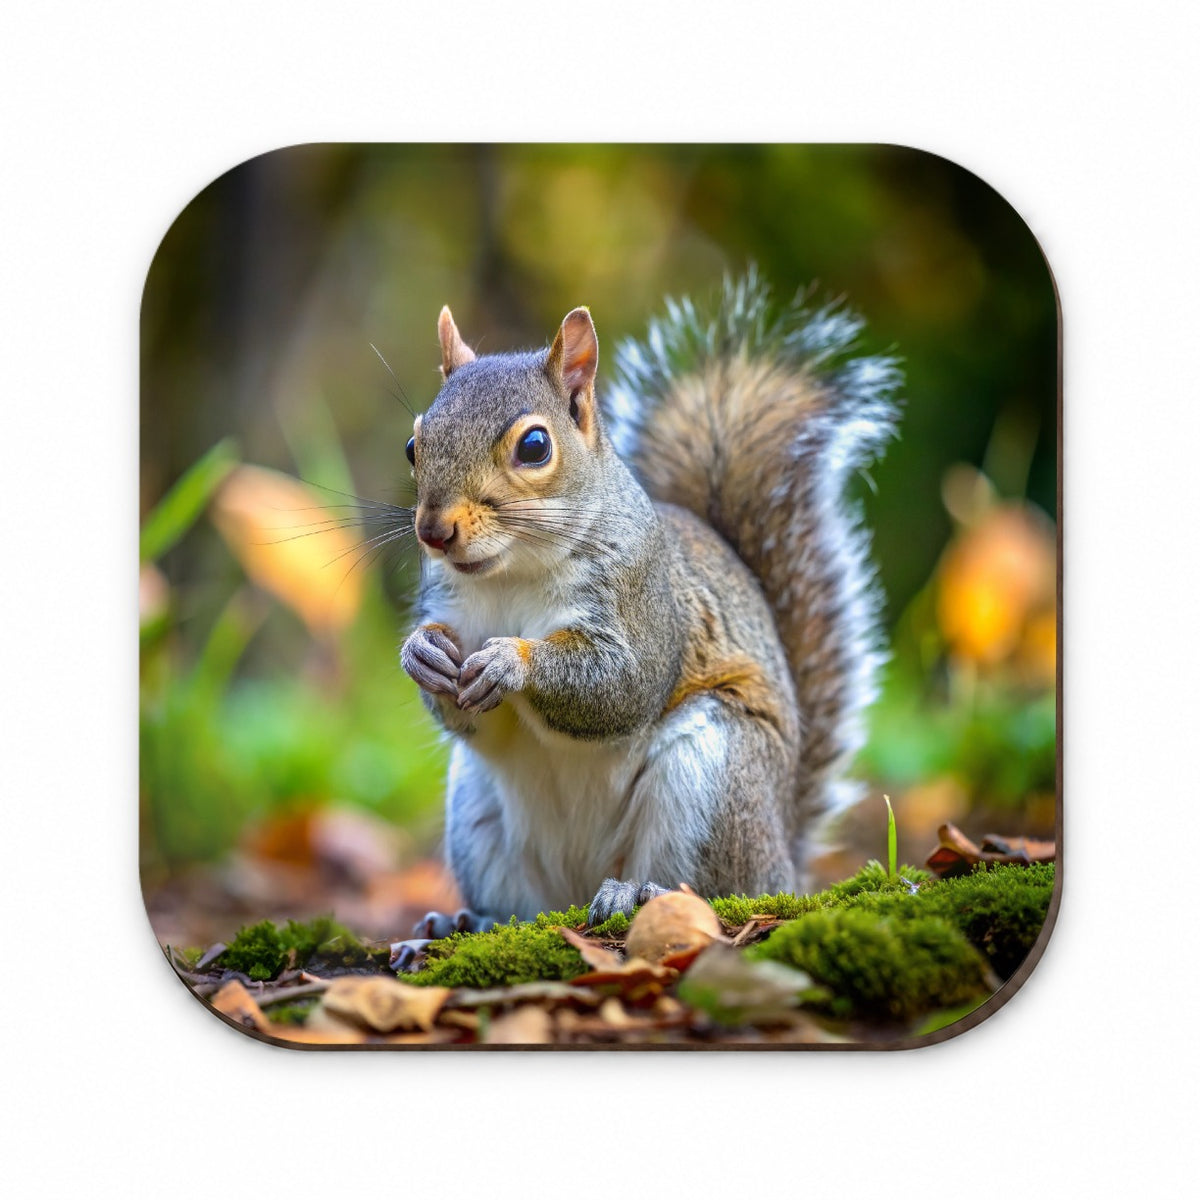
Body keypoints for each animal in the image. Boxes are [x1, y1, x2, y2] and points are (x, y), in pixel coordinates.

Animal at [398, 271, 901, 934]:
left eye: (534, 446)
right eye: (413, 445)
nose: (434, 531)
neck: (512, 573)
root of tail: (783, 860)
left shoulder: (644, 602)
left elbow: (623, 684)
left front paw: (513, 661)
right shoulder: (450, 606)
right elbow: (462, 713)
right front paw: (421, 653)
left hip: (713, 777)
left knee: (712, 887)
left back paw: (636, 894)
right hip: (476, 810)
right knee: (520, 907)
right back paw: (466, 922)